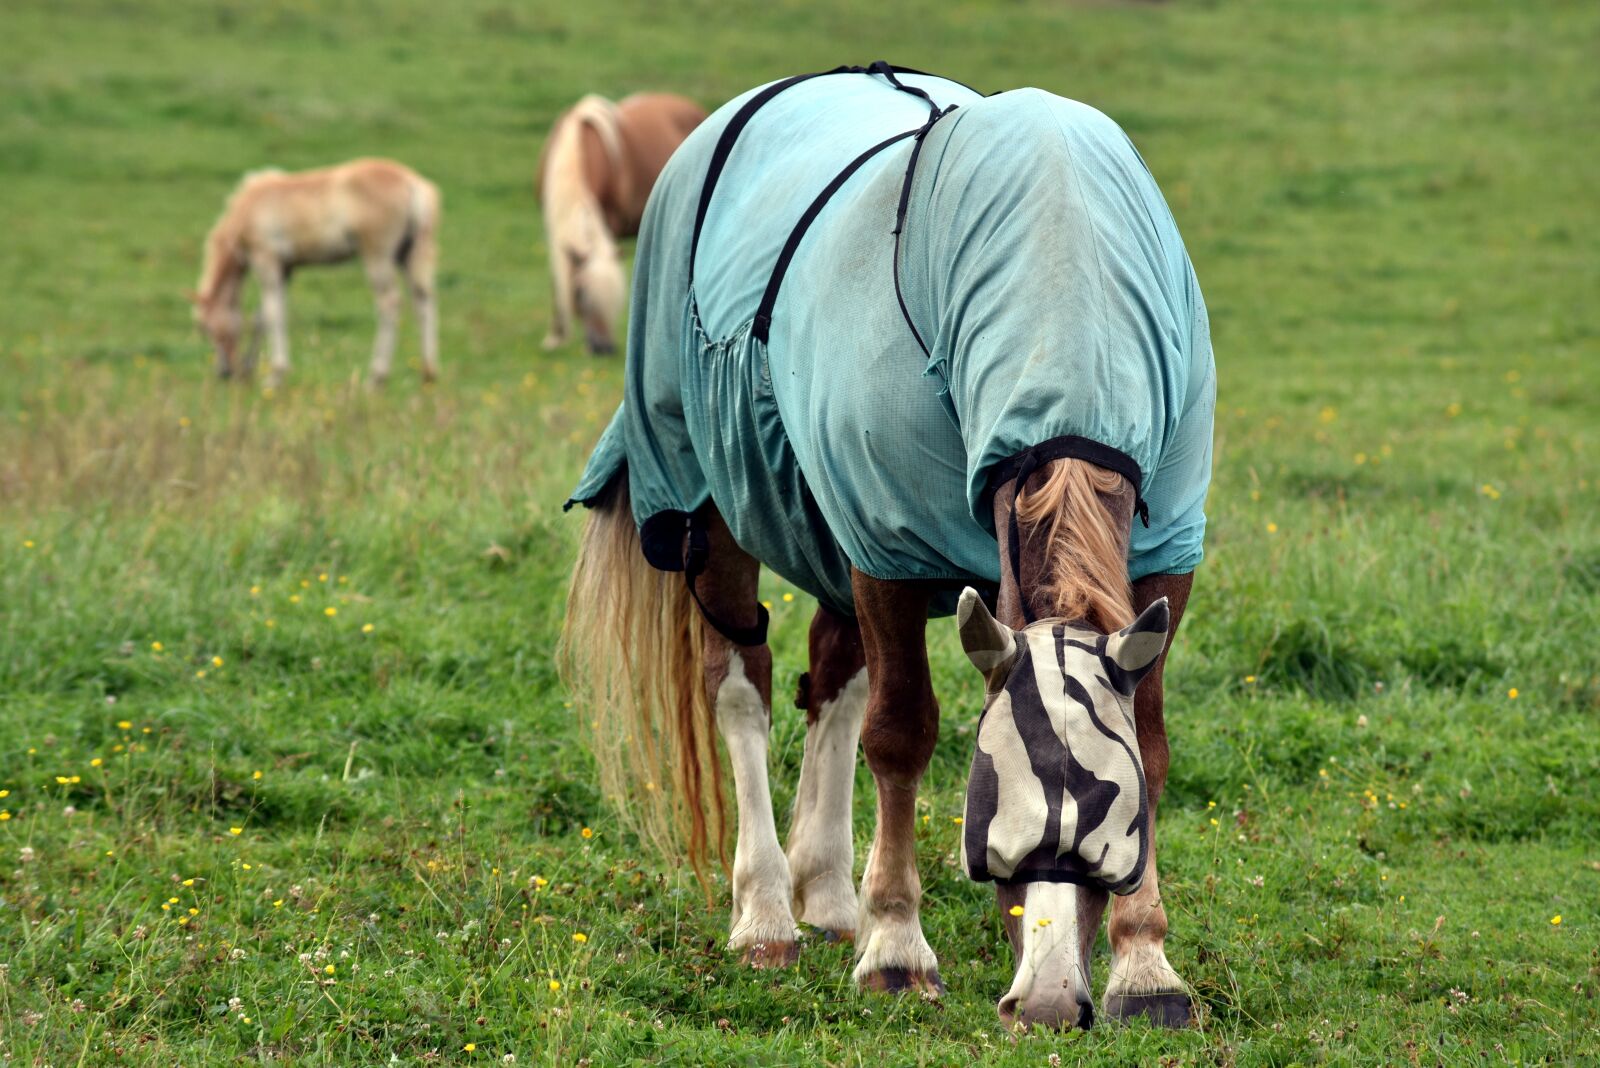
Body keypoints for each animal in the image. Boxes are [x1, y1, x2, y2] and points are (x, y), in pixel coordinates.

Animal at [188, 158, 440, 387]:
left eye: (205, 327)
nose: (225, 372)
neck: (248, 208)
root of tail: (413, 183)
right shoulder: (285, 268)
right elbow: (262, 317)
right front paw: (251, 369)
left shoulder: (265, 260)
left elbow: (272, 315)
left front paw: (275, 375)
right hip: (410, 254)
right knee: (422, 300)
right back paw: (428, 373)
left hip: (377, 255)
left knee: (390, 303)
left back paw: (376, 378)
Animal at [536, 93, 705, 355]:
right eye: (581, 293)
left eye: (614, 297)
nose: (604, 349)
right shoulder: (553, 231)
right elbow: (558, 278)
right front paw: (555, 337)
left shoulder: (609, 224)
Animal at [562, 64, 1215, 1031]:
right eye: (990, 832)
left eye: (1113, 840)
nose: (1049, 1004)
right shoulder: (886, 546)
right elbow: (901, 735)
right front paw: (897, 950)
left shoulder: (1167, 547)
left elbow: (1156, 743)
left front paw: (1147, 963)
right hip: (715, 499)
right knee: (743, 685)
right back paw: (767, 913)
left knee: (833, 678)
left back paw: (830, 894)